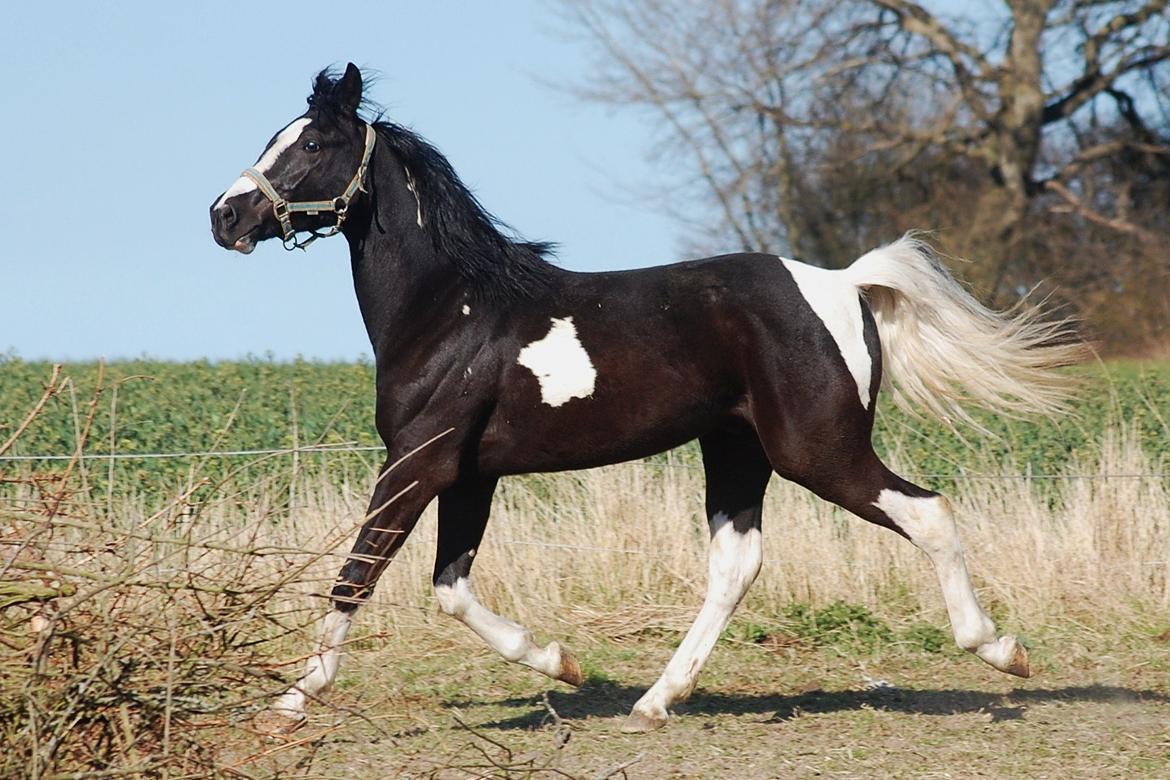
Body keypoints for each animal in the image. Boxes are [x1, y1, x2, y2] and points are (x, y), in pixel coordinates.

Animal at [212, 64, 1076, 734]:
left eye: (312, 144)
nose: (224, 217)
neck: (453, 310)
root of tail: (845, 283)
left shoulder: (417, 462)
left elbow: (358, 573)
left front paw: (289, 702)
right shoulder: (470, 474)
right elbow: (450, 590)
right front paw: (562, 663)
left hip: (819, 450)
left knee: (927, 512)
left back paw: (1004, 652)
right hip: (738, 449)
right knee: (737, 563)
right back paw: (658, 698)